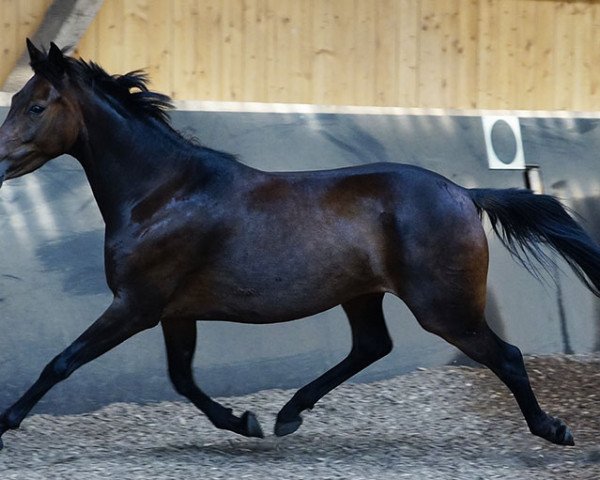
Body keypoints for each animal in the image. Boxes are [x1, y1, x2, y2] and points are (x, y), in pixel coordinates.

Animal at [1, 41, 600, 450]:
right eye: (17, 100)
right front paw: (244, 421)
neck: (162, 193)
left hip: (443, 308)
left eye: (36, 107)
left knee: (506, 356)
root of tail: (466, 193)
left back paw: (553, 430)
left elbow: (62, 362)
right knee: (371, 346)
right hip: (363, 294)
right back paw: (289, 413)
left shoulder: (135, 305)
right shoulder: (173, 311)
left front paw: (7, 419)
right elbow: (182, 378)